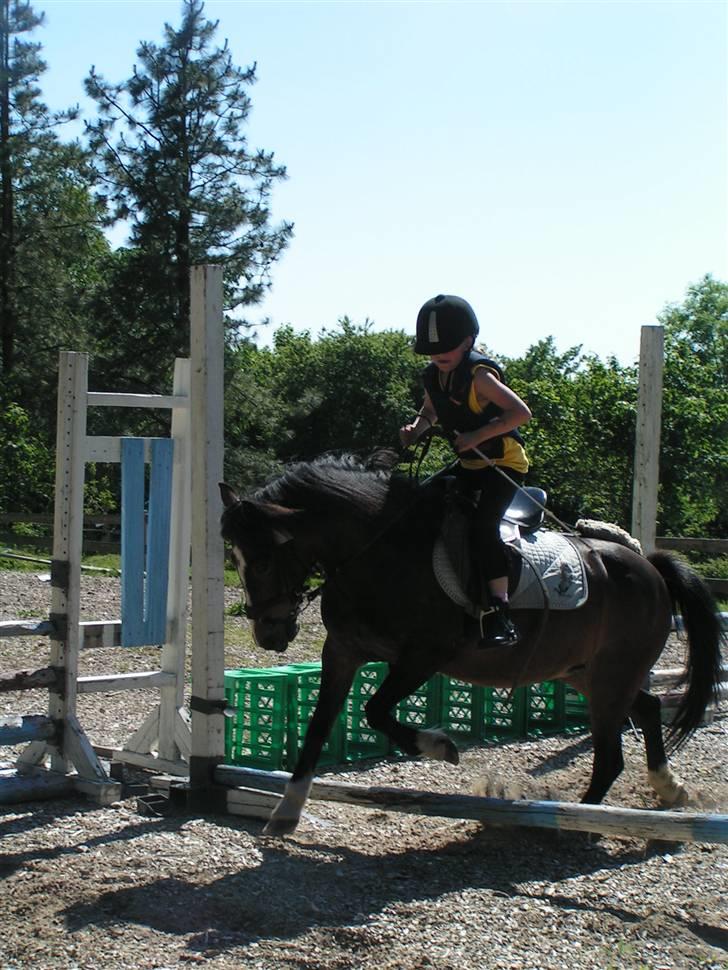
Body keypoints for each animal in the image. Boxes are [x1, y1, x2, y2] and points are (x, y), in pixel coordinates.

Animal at [220, 454, 724, 837]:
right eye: (236, 560)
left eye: (262, 561)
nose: (268, 635)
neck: (378, 550)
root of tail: (650, 567)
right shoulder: (342, 652)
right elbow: (319, 727)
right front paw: (286, 810)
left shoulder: (424, 656)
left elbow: (376, 711)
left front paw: (439, 745)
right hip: (588, 674)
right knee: (649, 708)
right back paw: (668, 787)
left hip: (610, 678)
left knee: (611, 757)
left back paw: (575, 820)